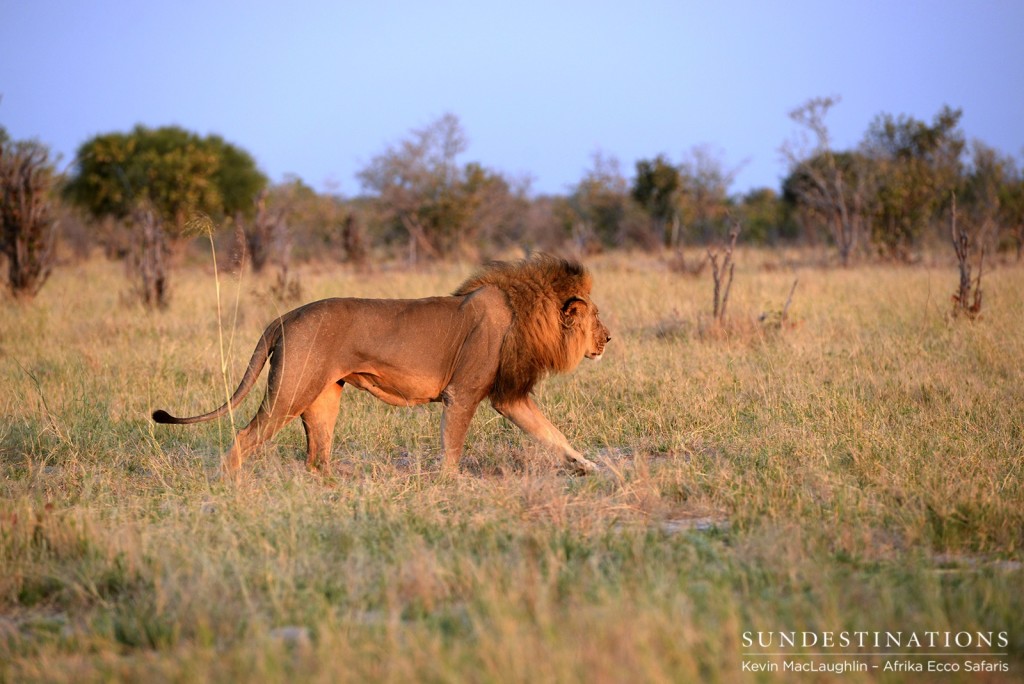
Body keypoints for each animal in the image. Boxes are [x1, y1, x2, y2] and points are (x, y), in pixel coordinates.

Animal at [151, 254, 606, 475]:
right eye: (597, 317)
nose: (608, 340)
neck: (523, 314)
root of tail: (283, 318)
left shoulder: (509, 397)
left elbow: (552, 434)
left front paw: (589, 466)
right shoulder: (463, 394)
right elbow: (454, 445)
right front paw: (450, 483)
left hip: (323, 399)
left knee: (316, 457)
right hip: (290, 392)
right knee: (245, 436)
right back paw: (230, 484)